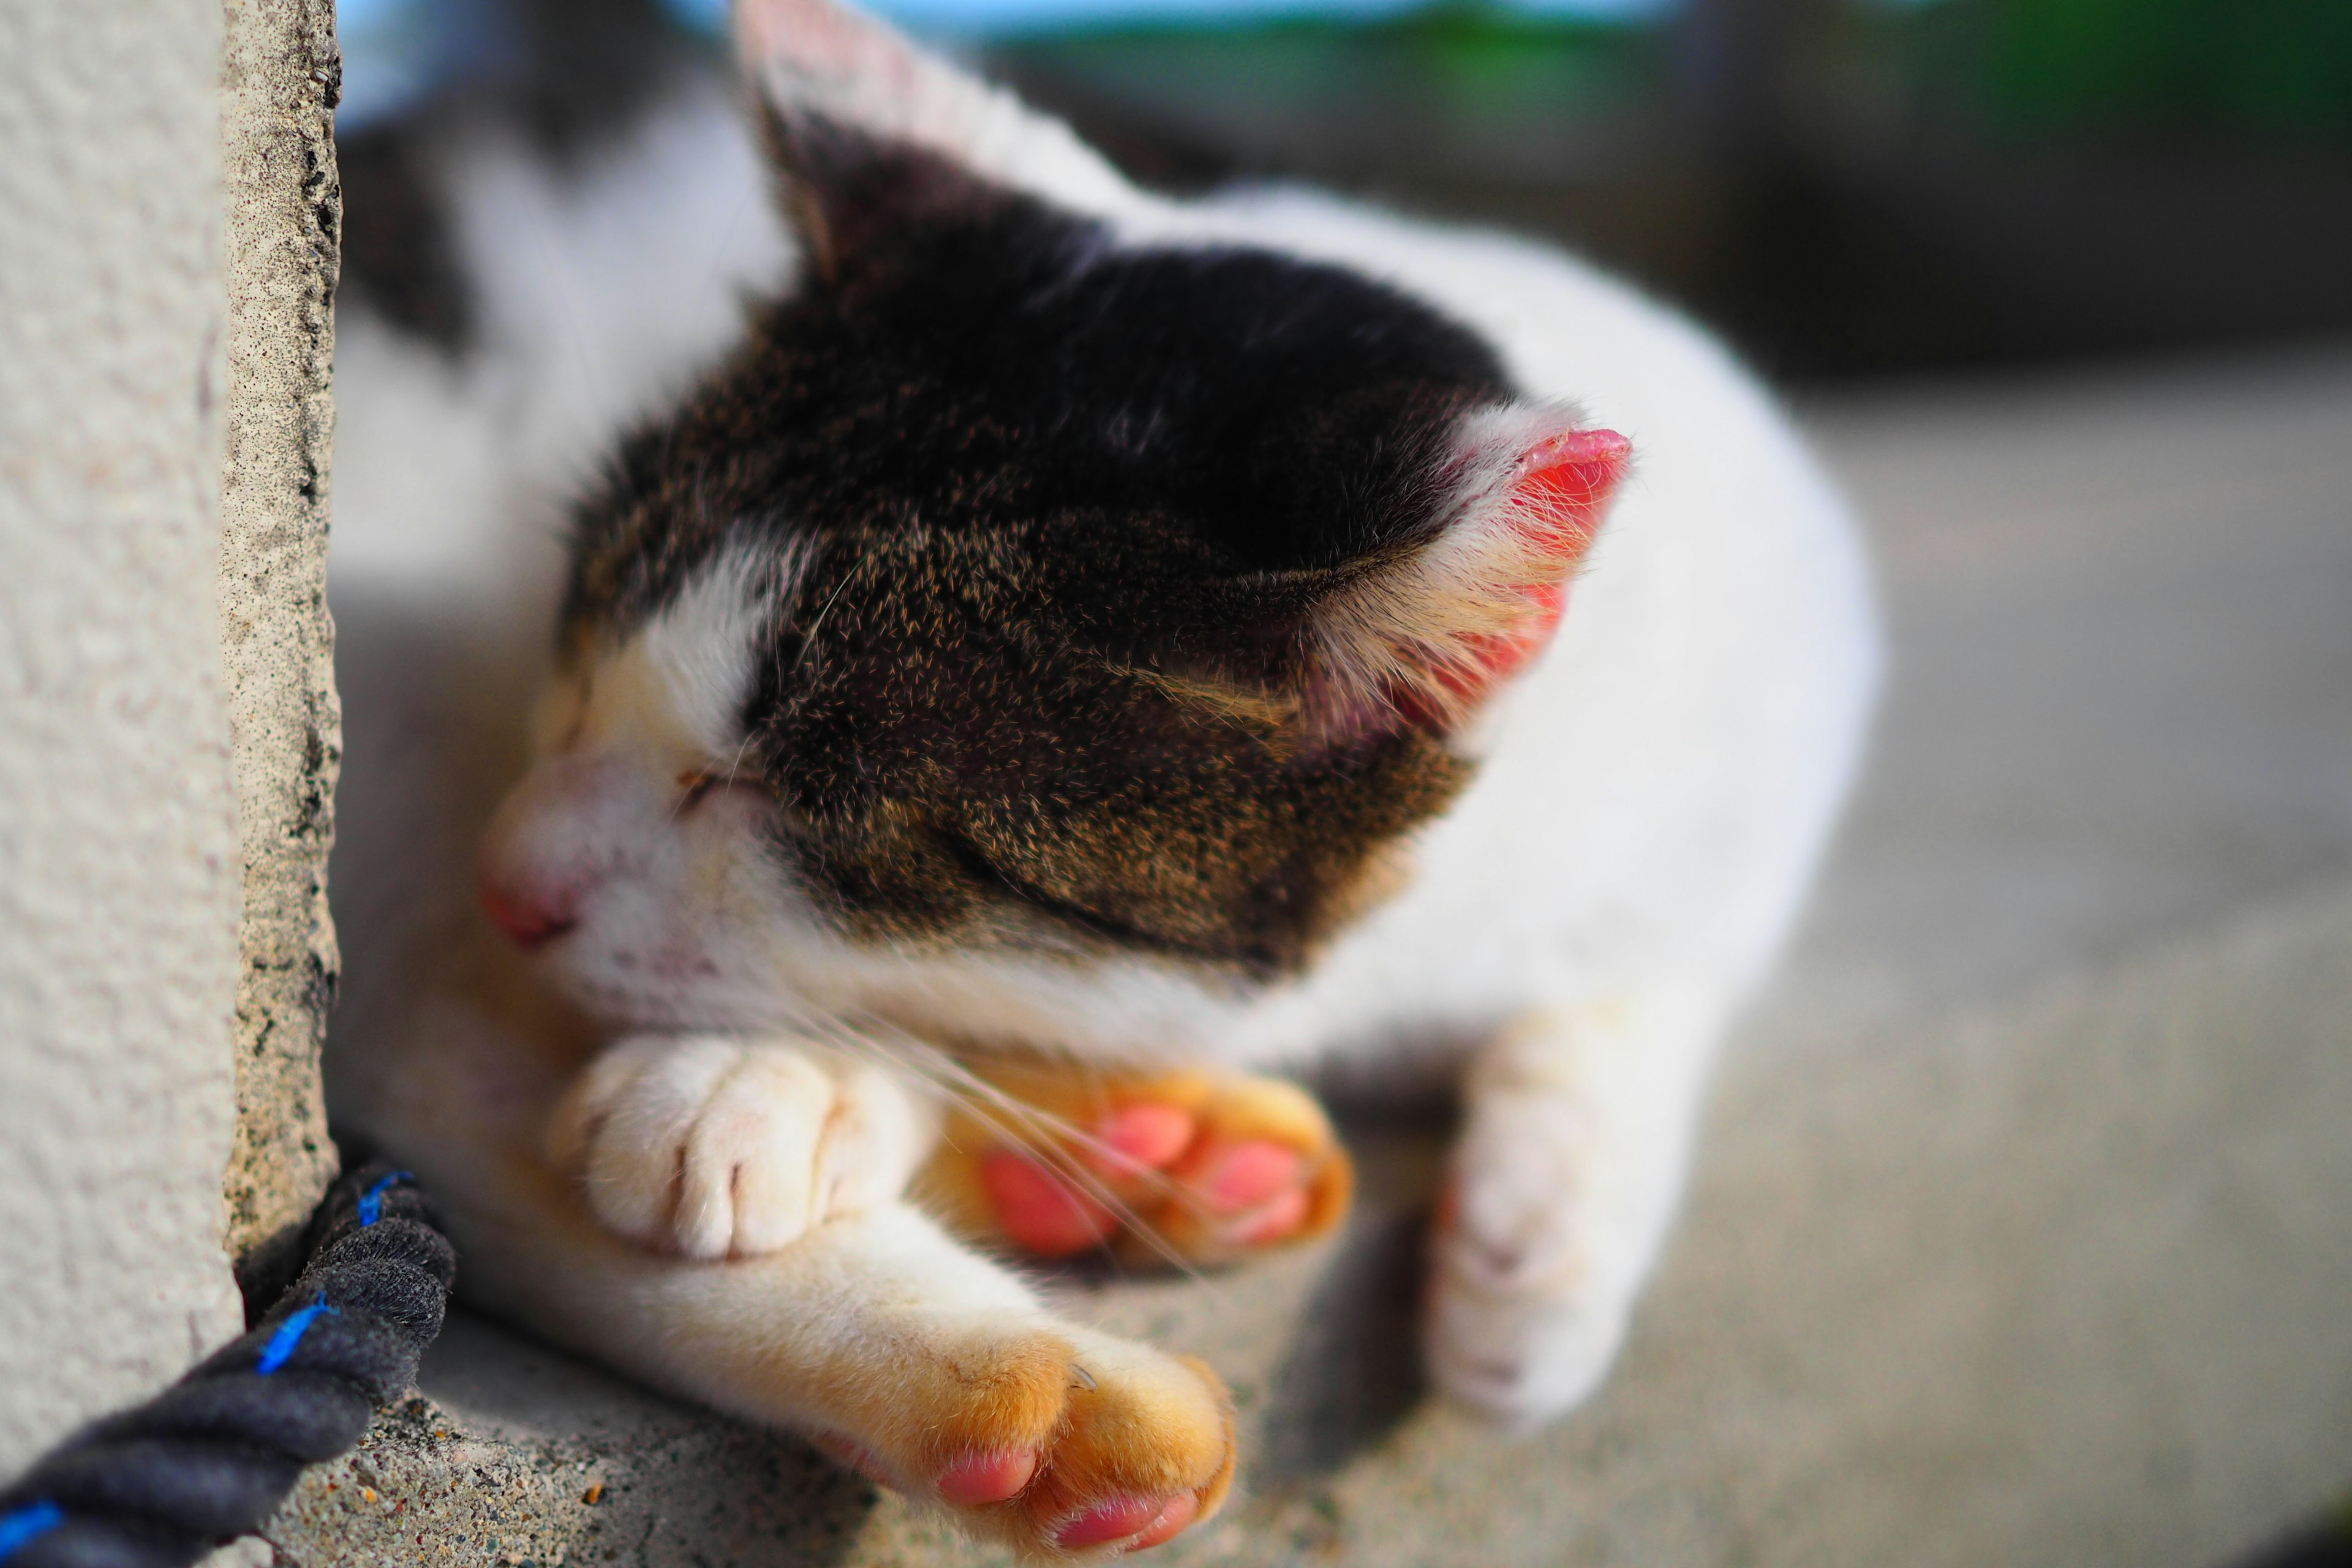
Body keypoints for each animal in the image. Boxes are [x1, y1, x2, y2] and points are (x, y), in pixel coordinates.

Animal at [326, 0, 1872, 1551]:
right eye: (581, 633)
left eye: (814, 810)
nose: (511, 879)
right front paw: (764, 1078)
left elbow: (1650, 982)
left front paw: (1547, 1248)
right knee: (432, 1051)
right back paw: (1042, 1356)